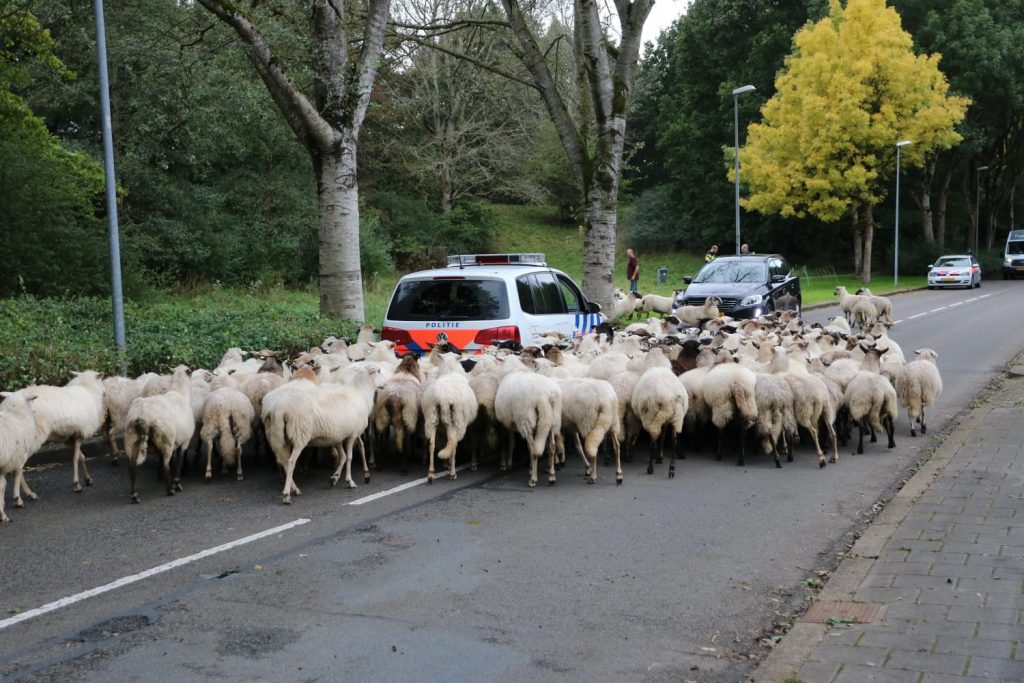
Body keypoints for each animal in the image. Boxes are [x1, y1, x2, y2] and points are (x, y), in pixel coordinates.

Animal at [122, 366, 194, 505]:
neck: (180, 393)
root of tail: (143, 415)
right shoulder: (184, 441)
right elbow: (179, 462)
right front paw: (177, 484)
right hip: (166, 439)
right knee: (166, 465)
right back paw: (170, 490)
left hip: (131, 439)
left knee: (132, 468)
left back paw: (134, 496)